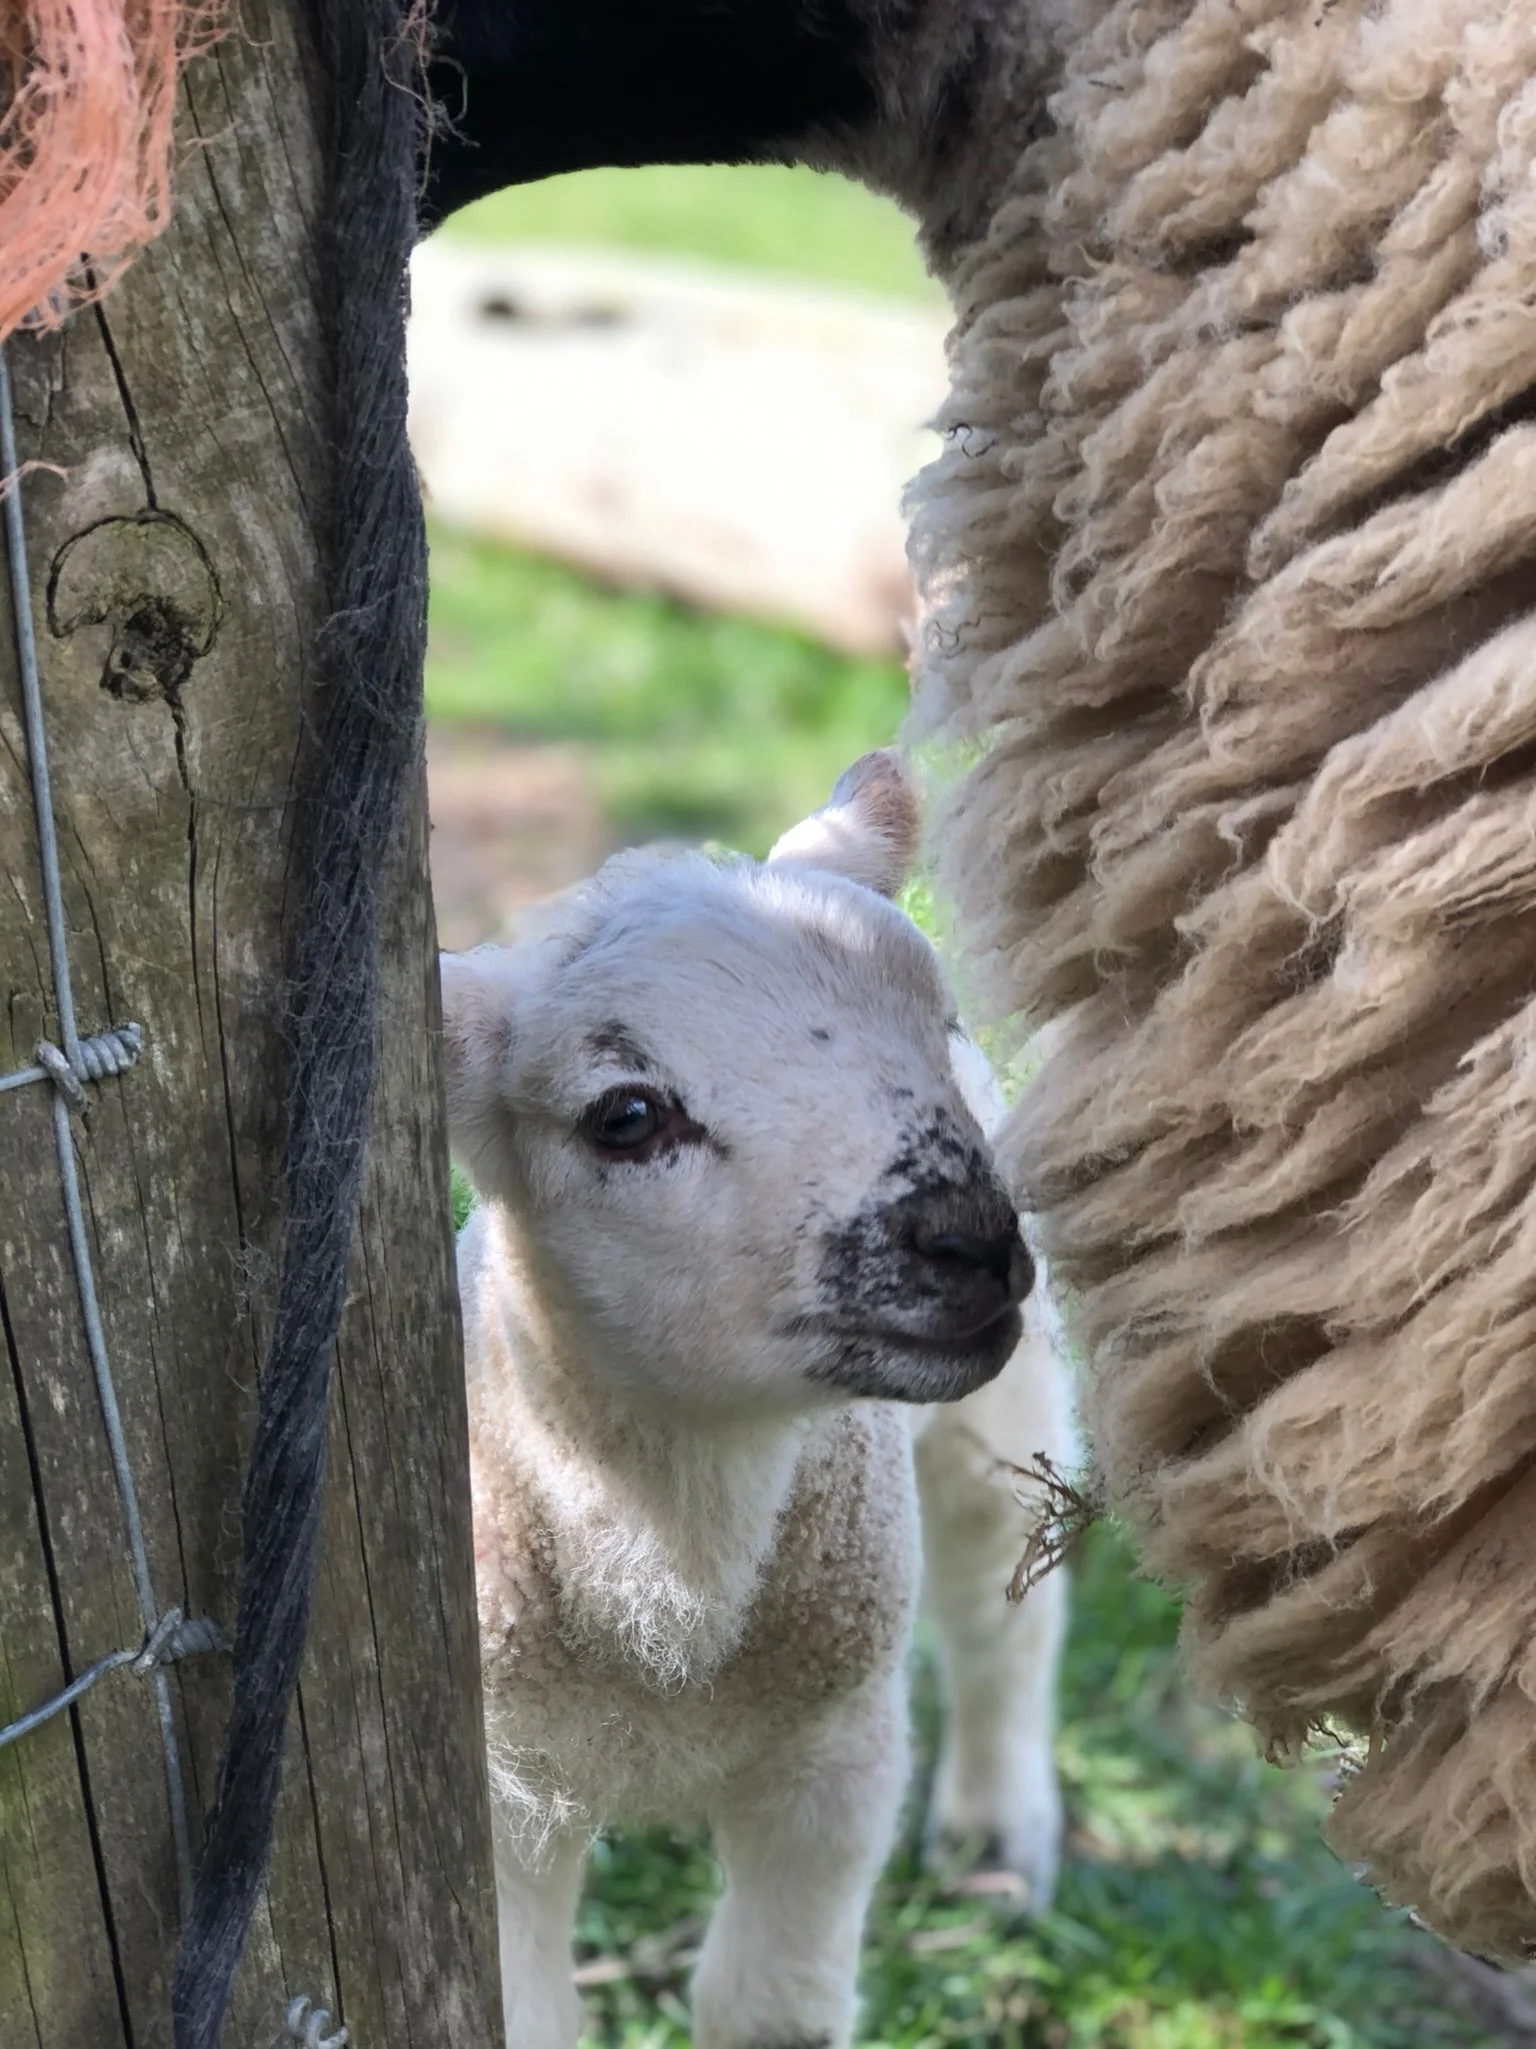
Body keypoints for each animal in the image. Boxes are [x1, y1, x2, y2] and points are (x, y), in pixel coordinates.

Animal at [439, 751, 1073, 2048]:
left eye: (935, 1022)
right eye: (626, 1116)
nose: (972, 1242)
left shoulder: (835, 1759)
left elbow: (770, 2007)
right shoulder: (503, 1793)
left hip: (1007, 1403)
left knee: (1002, 1597)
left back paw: (996, 1840)